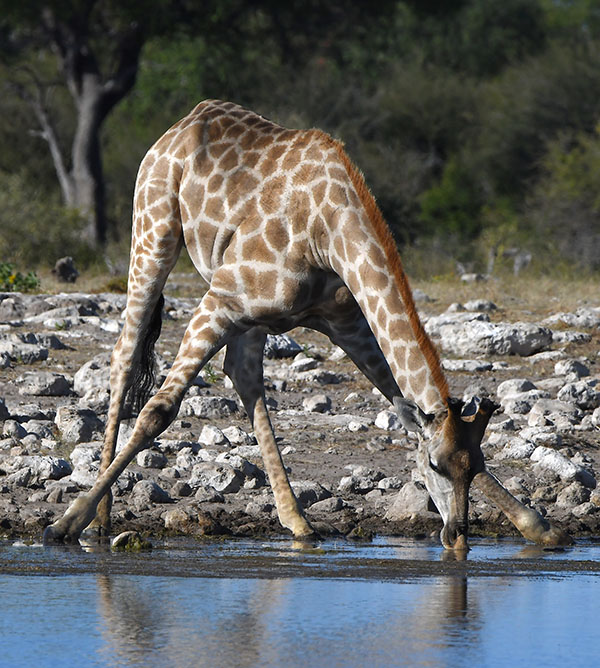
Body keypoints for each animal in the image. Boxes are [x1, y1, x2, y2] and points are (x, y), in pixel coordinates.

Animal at [43, 100, 571, 550]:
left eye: (475, 465)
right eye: (436, 467)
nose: (457, 538)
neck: (328, 233)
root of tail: (182, 122)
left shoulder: (345, 320)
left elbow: (396, 397)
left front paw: (538, 527)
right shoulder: (219, 300)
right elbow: (159, 410)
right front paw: (66, 522)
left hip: (247, 312)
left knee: (243, 374)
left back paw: (297, 521)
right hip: (154, 234)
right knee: (126, 354)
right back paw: (100, 517)